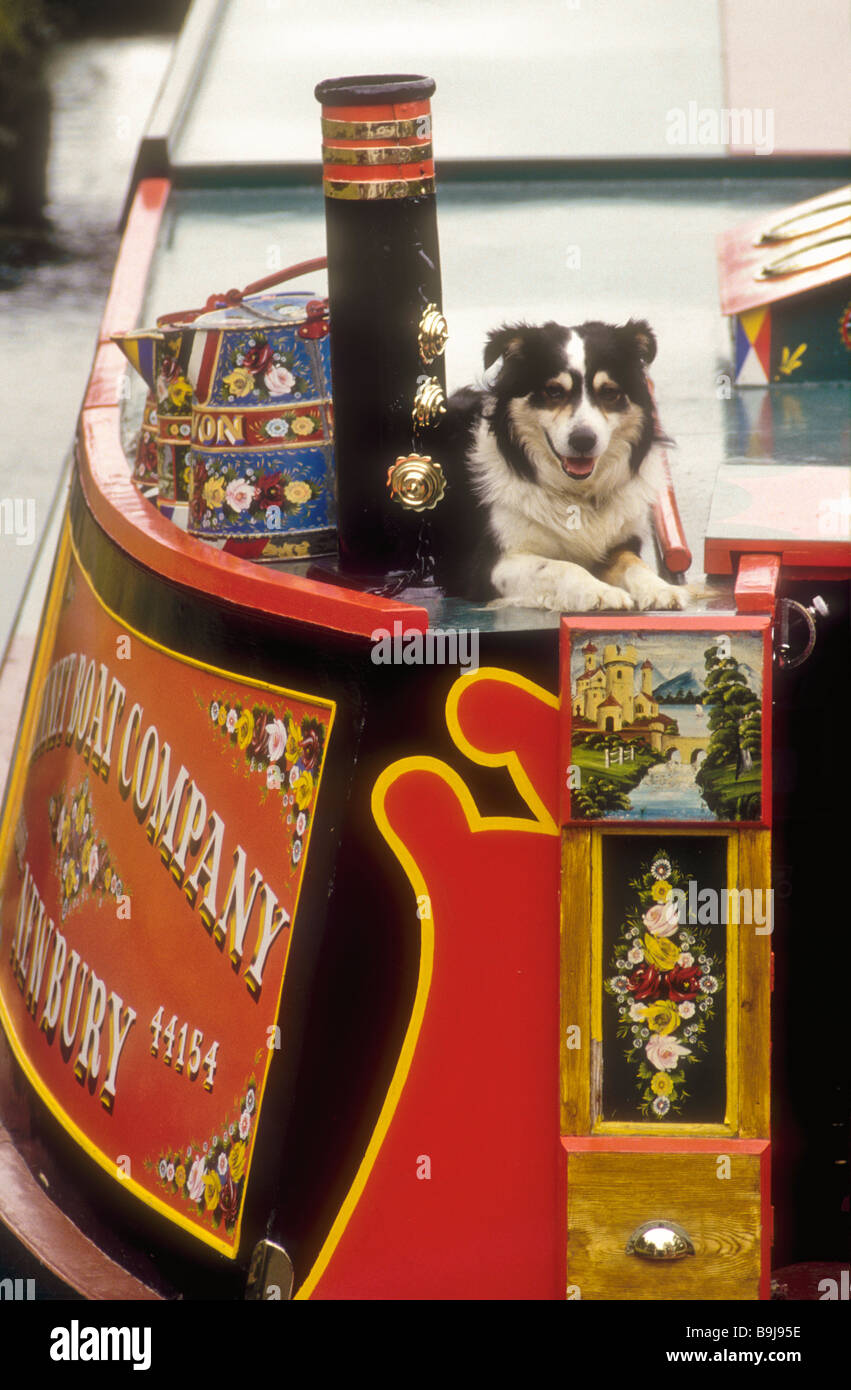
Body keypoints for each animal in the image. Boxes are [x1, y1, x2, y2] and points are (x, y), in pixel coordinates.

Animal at [436, 322, 686, 611]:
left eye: (609, 392)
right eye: (554, 391)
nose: (583, 440)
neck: (574, 492)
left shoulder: (619, 545)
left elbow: (634, 564)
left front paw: (659, 588)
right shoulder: (489, 564)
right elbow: (561, 566)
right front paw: (601, 592)